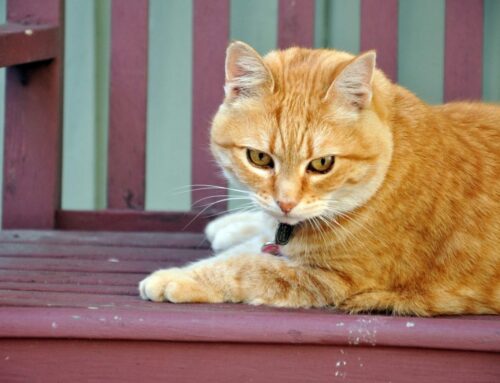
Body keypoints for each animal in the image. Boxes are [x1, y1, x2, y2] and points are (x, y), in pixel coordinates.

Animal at [140, 40, 500, 316]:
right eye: (260, 158)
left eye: (323, 164)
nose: (285, 203)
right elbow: (252, 250)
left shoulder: (336, 279)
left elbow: (245, 266)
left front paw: (179, 278)